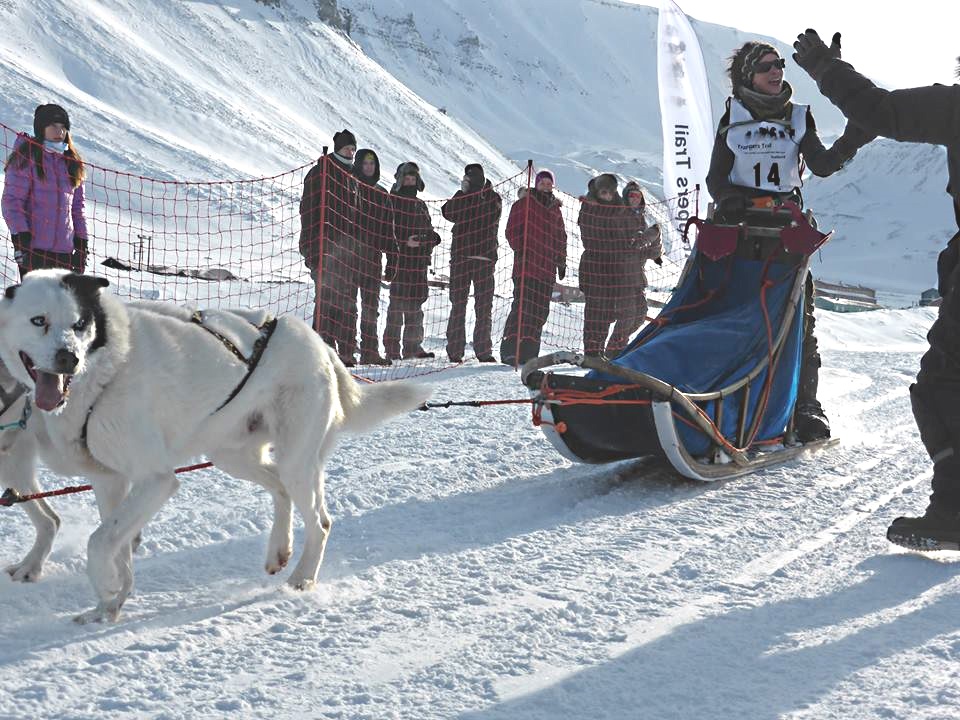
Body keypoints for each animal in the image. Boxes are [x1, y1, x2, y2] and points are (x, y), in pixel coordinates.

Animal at [0, 272, 432, 624]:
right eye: (39, 321)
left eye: (79, 324)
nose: (68, 358)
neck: (105, 371)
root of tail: (318, 341)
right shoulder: (111, 482)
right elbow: (115, 542)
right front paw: (112, 600)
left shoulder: (156, 480)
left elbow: (100, 540)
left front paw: (107, 587)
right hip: (232, 455)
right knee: (279, 489)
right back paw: (278, 550)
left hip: (295, 460)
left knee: (320, 521)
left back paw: (303, 577)